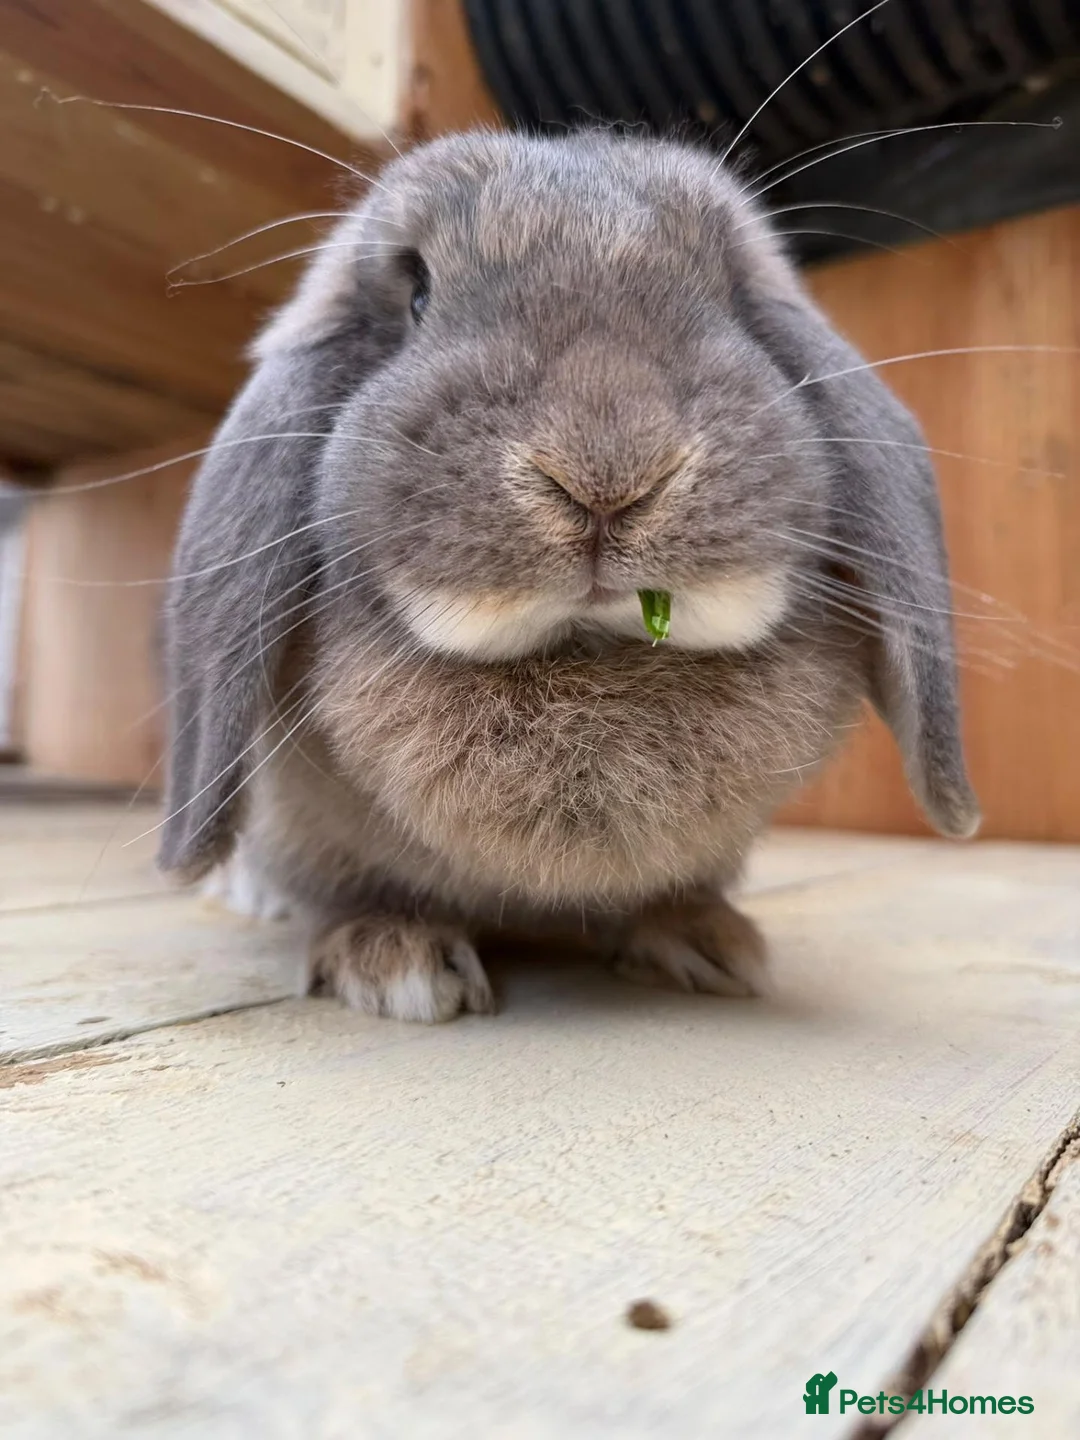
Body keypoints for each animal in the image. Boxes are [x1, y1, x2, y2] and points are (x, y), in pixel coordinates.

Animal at [160, 128, 979, 1022]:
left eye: (734, 297)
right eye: (416, 294)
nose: (607, 480)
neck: (581, 661)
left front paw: (707, 941)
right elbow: (356, 894)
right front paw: (396, 964)